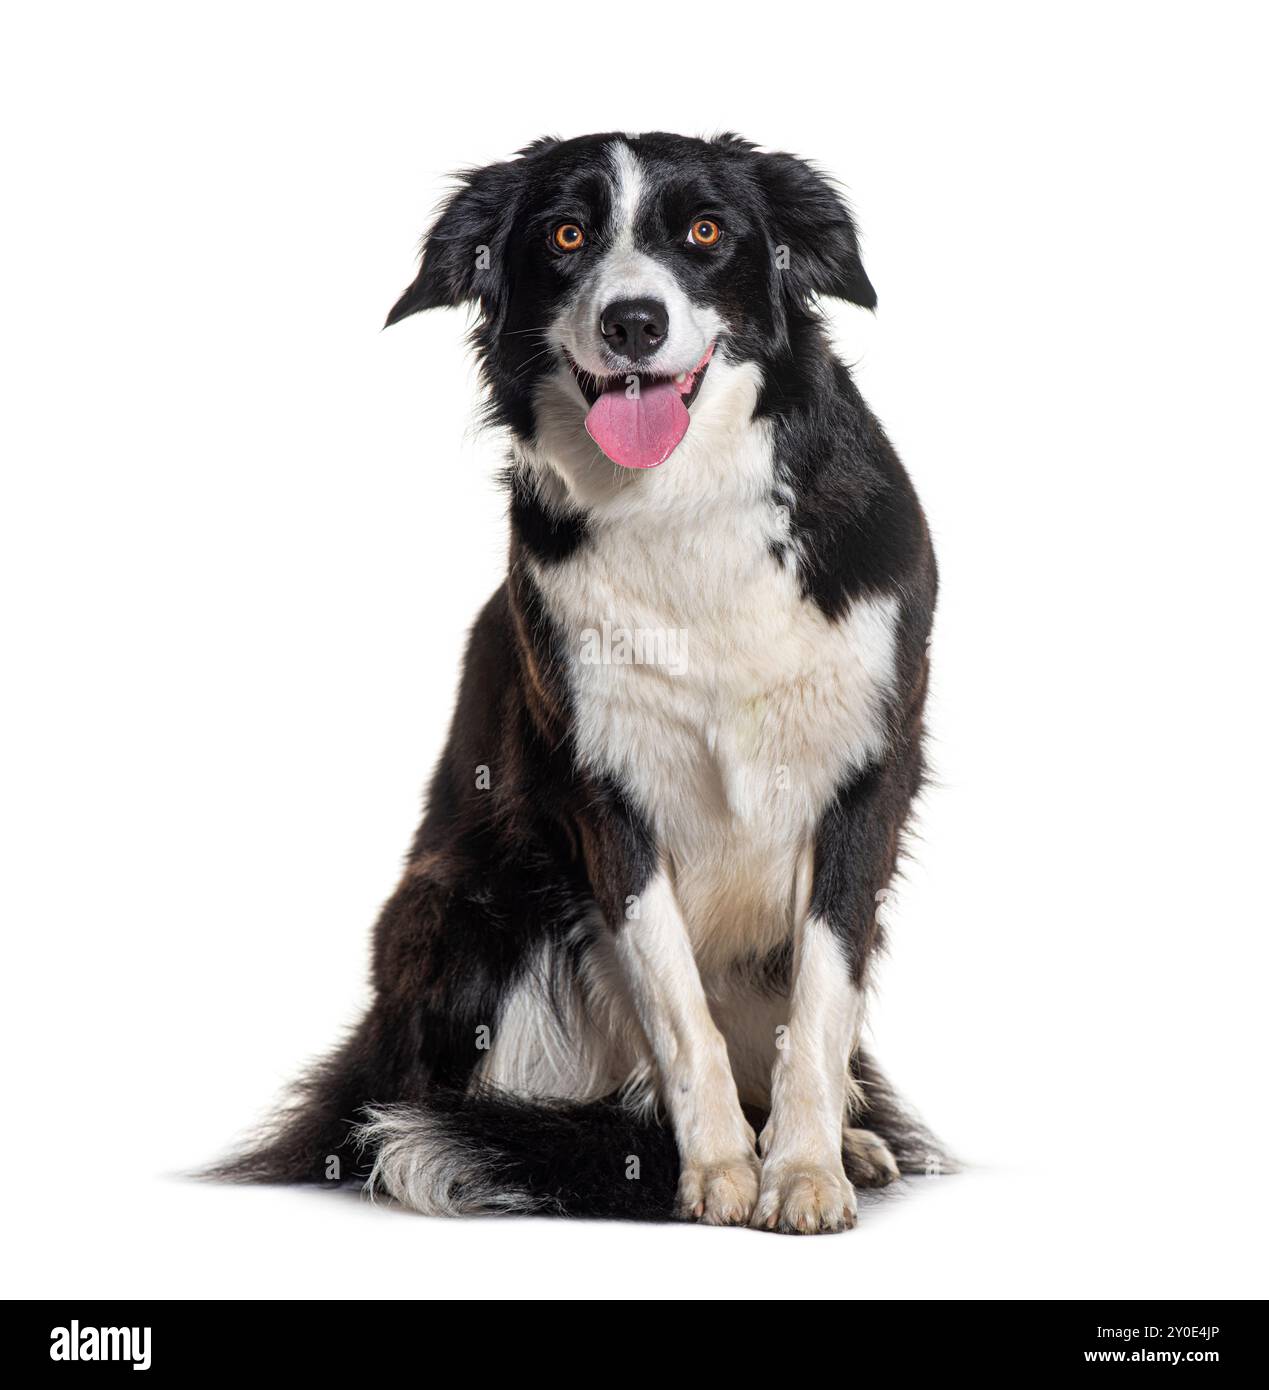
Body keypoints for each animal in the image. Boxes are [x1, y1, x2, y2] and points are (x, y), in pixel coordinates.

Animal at [222, 135, 939, 1234]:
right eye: (565, 235)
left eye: (705, 231)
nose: (632, 322)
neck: (680, 502)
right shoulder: (603, 793)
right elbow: (675, 1004)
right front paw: (718, 1168)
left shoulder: (869, 773)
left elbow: (822, 998)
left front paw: (805, 1168)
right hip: (469, 903)